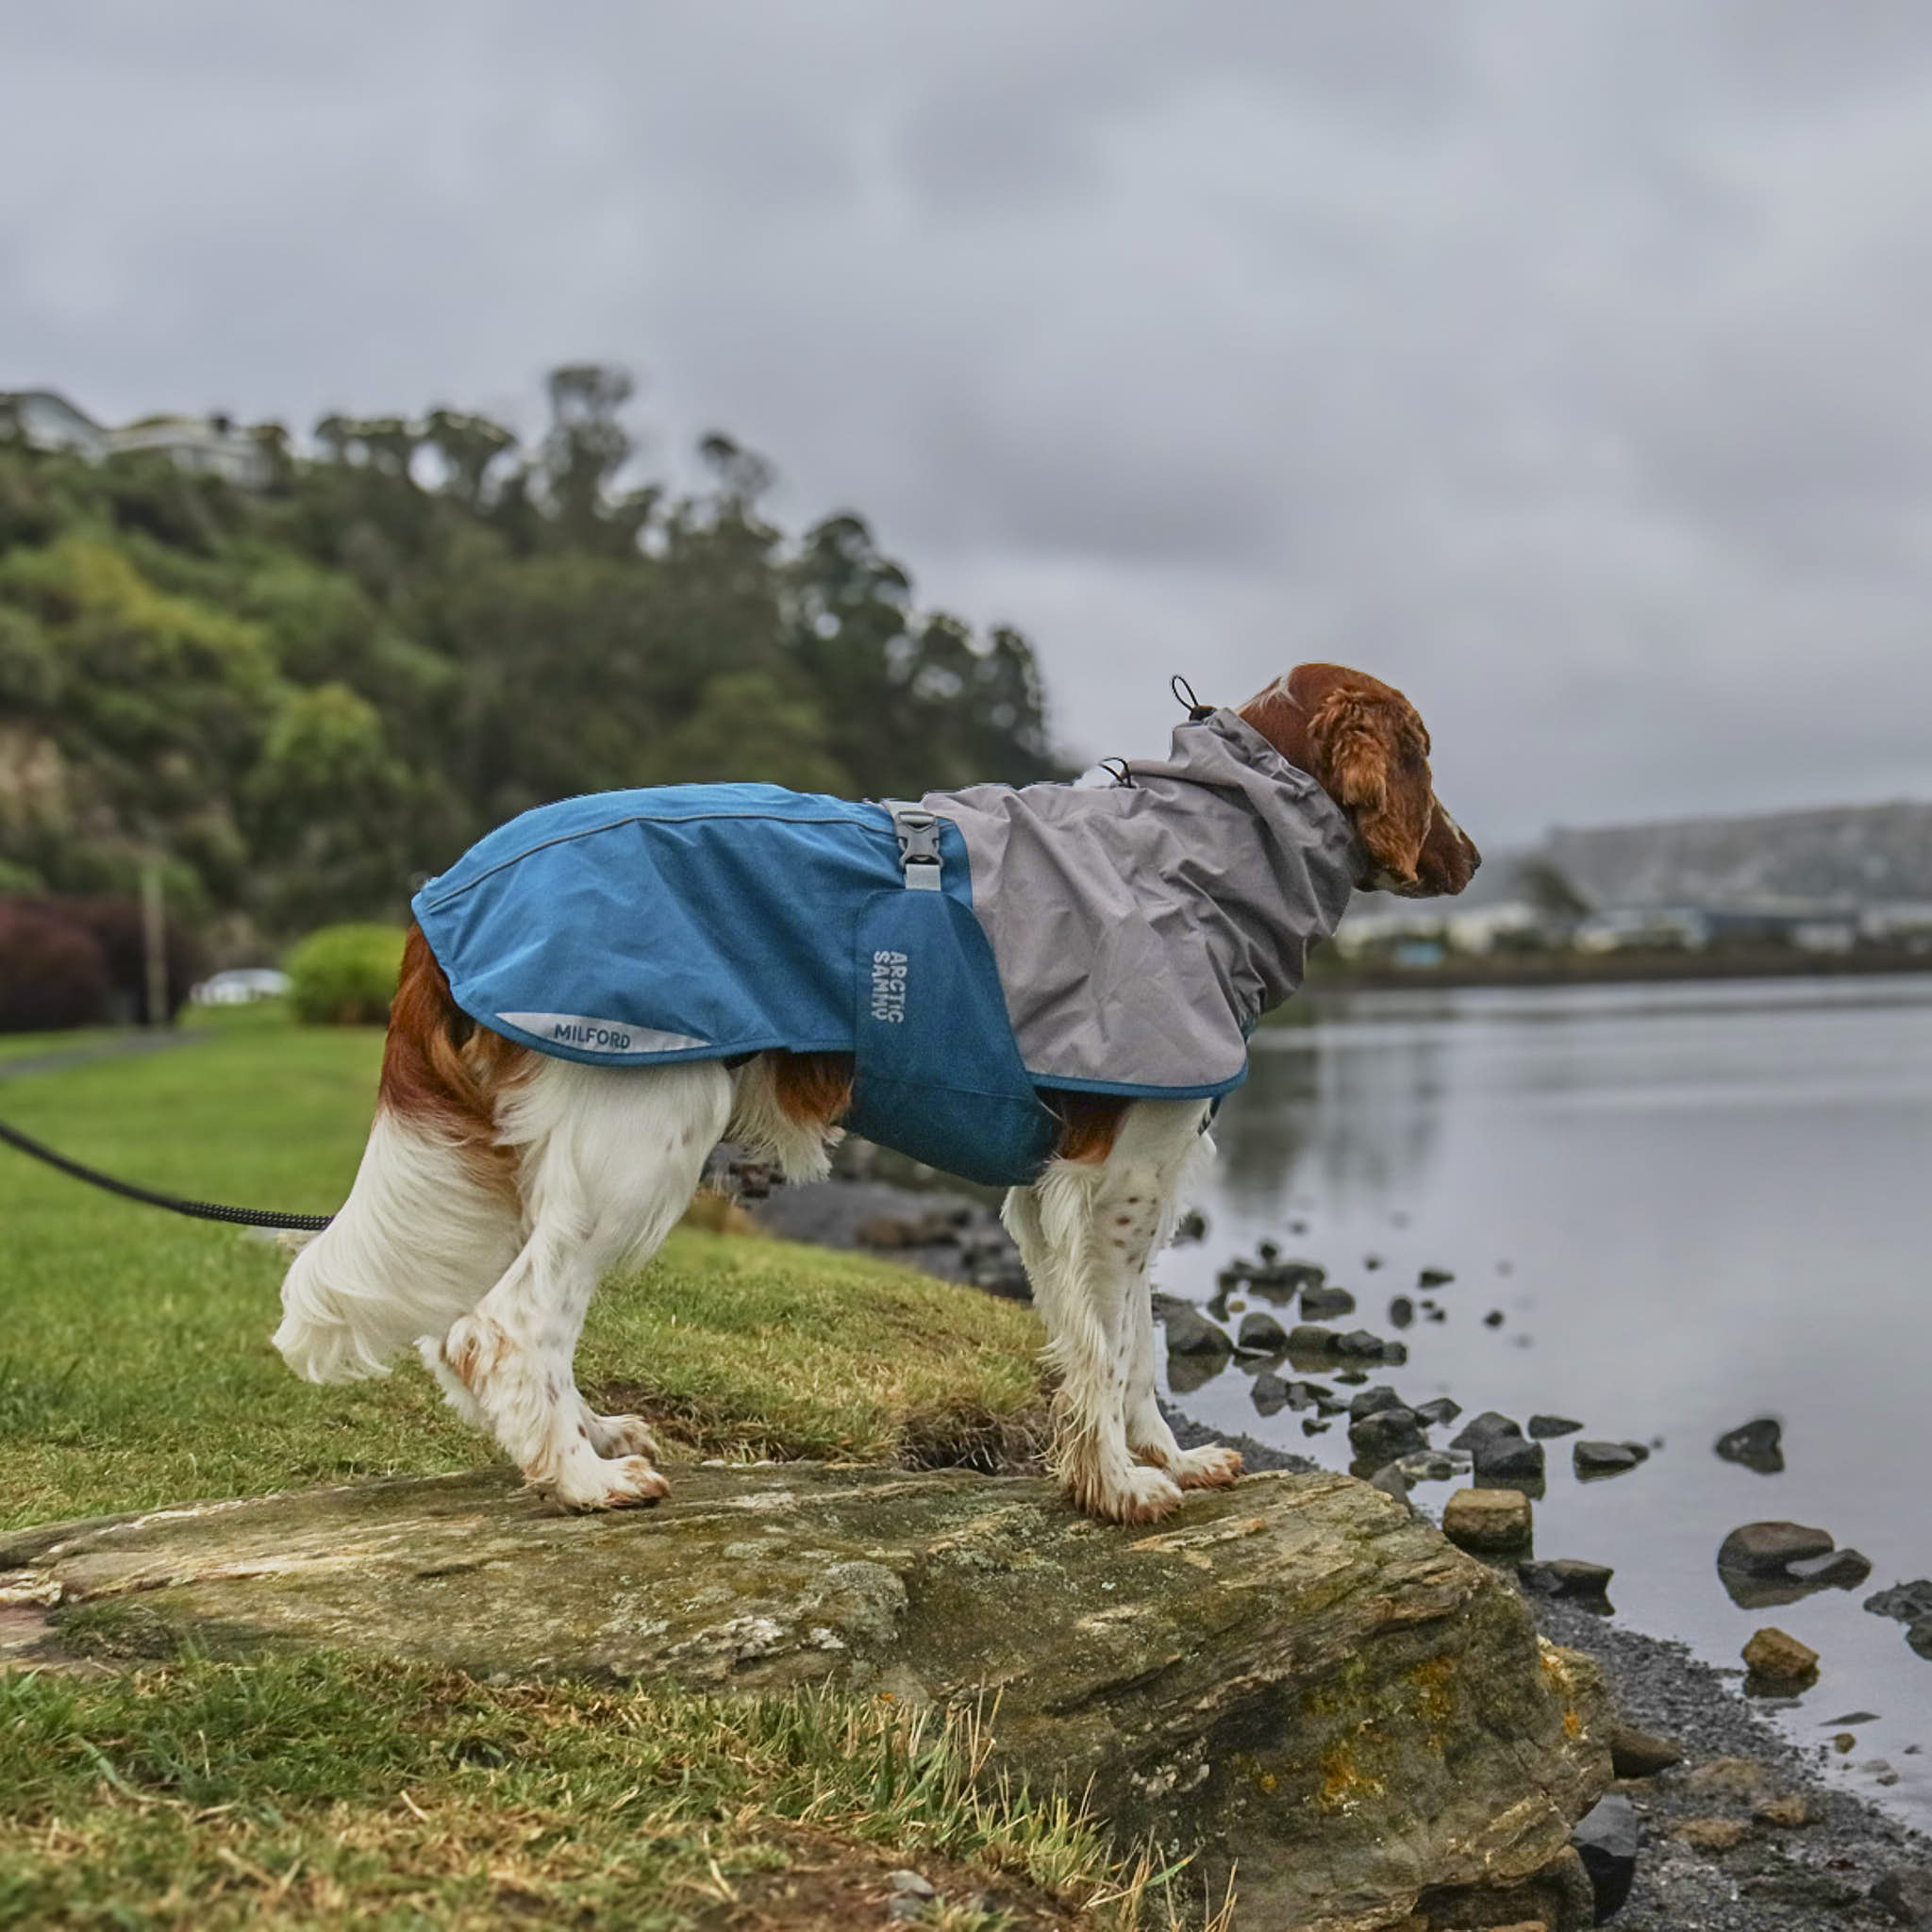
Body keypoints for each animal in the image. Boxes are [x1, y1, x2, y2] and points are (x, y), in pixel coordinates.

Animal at [275, 664, 1475, 1522]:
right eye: (1423, 752)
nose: (1465, 857)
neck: (1197, 855)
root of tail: (438, 903)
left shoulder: (1080, 1190)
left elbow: (1133, 1342)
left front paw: (1161, 1459)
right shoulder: (1105, 1181)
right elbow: (1108, 1343)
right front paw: (1124, 1487)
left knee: (490, 1322)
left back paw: (587, 1439)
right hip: (640, 1133)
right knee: (501, 1324)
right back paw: (580, 1480)